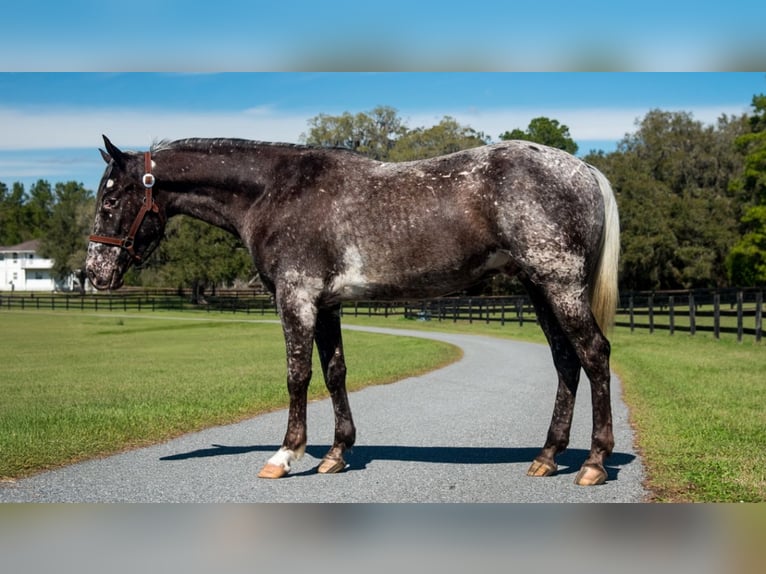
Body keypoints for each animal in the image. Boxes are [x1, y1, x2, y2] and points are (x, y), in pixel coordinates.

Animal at [87, 137, 620, 488]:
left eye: (110, 199)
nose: (94, 273)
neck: (275, 191)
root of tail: (585, 171)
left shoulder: (296, 297)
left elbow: (298, 375)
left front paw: (285, 454)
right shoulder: (326, 304)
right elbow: (334, 373)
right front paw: (337, 454)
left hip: (559, 285)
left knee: (594, 354)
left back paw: (594, 462)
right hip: (539, 289)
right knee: (566, 362)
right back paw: (547, 456)